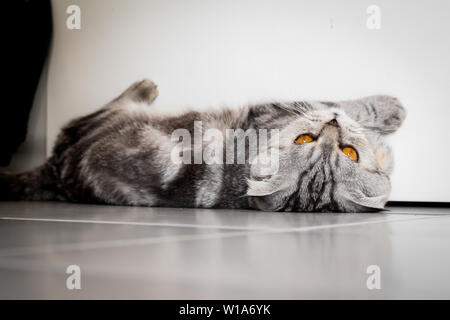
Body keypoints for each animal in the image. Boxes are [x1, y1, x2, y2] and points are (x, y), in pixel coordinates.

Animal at [0, 79, 408, 211]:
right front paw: (390, 108)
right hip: (102, 120)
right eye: (304, 139)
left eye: (349, 152)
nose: (333, 127)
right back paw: (145, 87)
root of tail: (54, 172)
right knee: (107, 104)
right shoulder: (280, 106)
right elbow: (341, 102)